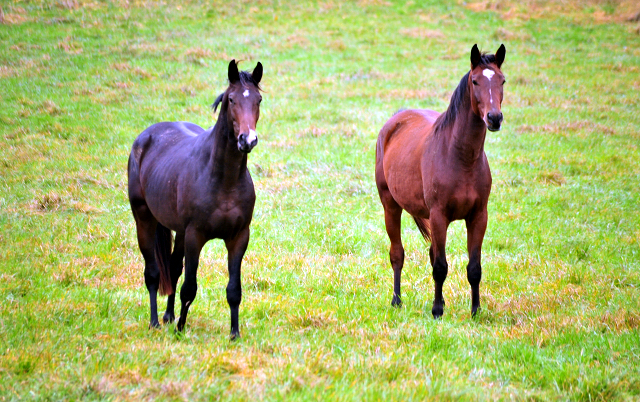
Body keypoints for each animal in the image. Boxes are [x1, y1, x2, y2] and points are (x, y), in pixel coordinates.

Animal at [127, 59, 262, 340]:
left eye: (259, 99)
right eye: (231, 99)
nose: (248, 140)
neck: (223, 180)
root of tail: (146, 137)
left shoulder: (239, 237)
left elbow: (234, 290)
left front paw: (234, 334)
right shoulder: (195, 236)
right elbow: (189, 287)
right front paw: (180, 329)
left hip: (177, 230)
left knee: (172, 267)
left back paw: (168, 316)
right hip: (144, 220)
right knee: (153, 273)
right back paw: (156, 322)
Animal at [376, 44, 504, 318]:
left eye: (502, 80)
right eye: (475, 81)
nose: (494, 118)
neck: (460, 157)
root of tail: (395, 120)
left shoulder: (478, 216)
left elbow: (474, 268)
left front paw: (475, 311)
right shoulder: (438, 216)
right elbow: (440, 266)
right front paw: (436, 311)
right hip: (390, 205)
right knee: (397, 254)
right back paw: (397, 300)